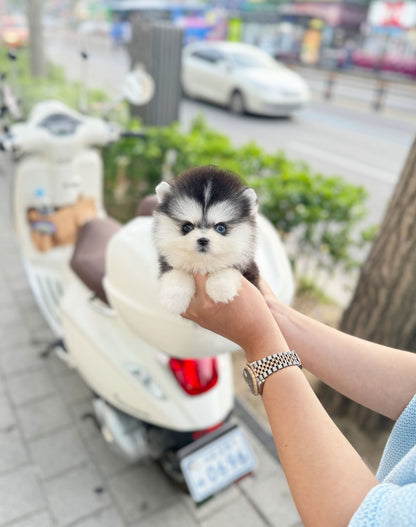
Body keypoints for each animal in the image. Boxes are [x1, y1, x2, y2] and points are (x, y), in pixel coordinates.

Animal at [151, 166, 258, 314]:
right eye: (187, 227)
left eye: (220, 228)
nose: (202, 240)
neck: (202, 264)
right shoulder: (167, 262)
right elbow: (176, 271)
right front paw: (174, 296)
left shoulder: (249, 268)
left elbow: (228, 267)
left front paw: (221, 286)